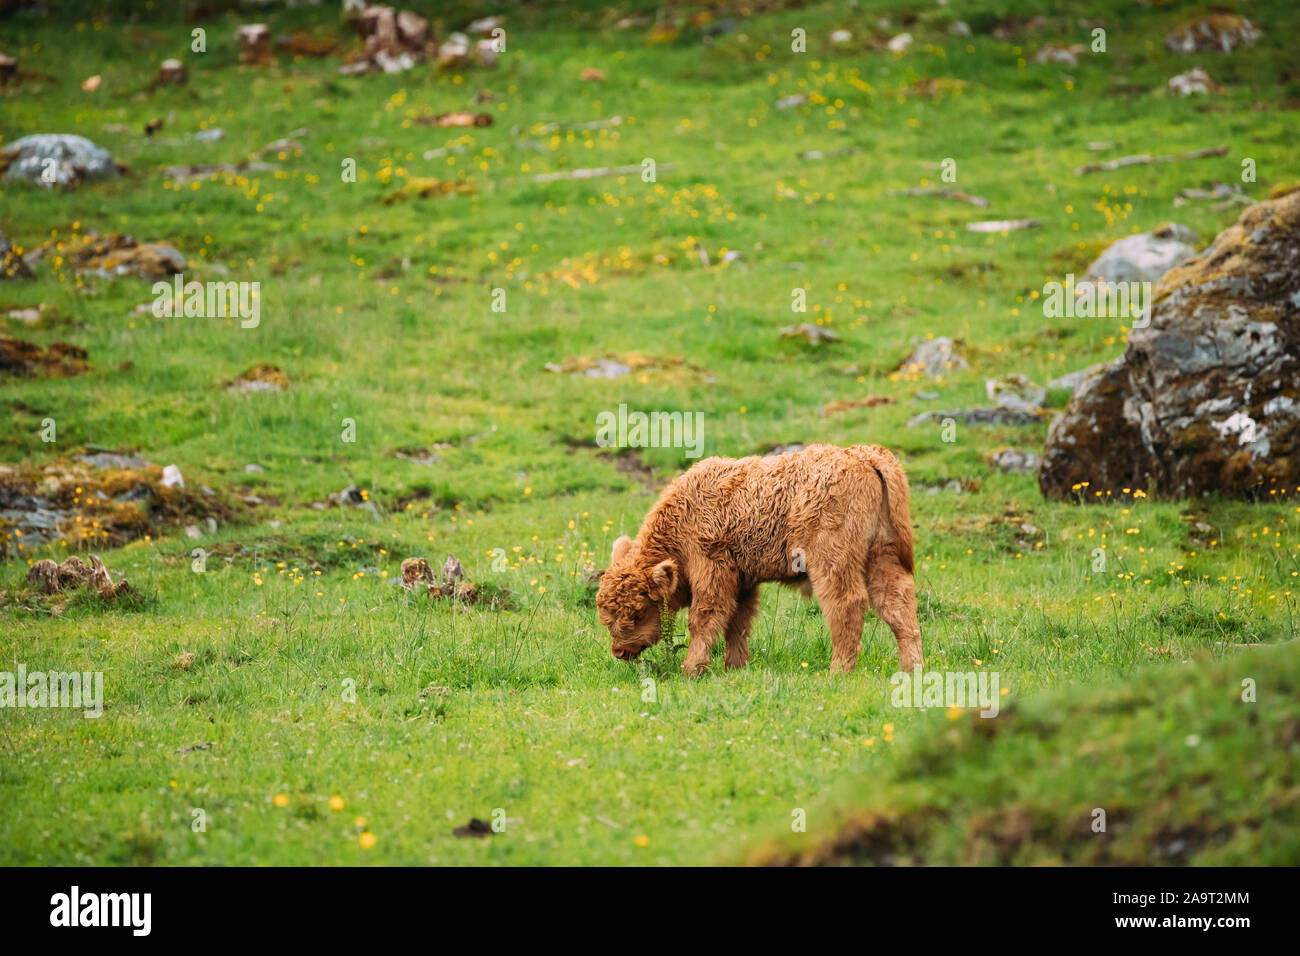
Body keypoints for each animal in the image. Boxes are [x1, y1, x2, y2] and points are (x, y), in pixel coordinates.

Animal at [598, 444, 925, 676]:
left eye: (638, 611)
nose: (619, 651)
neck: (685, 514)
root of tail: (864, 455)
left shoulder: (712, 571)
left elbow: (704, 619)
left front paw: (691, 670)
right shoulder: (742, 581)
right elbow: (737, 622)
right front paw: (735, 666)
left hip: (832, 560)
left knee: (848, 604)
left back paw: (838, 671)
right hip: (881, 555)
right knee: (897, 603)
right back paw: (912, 668)